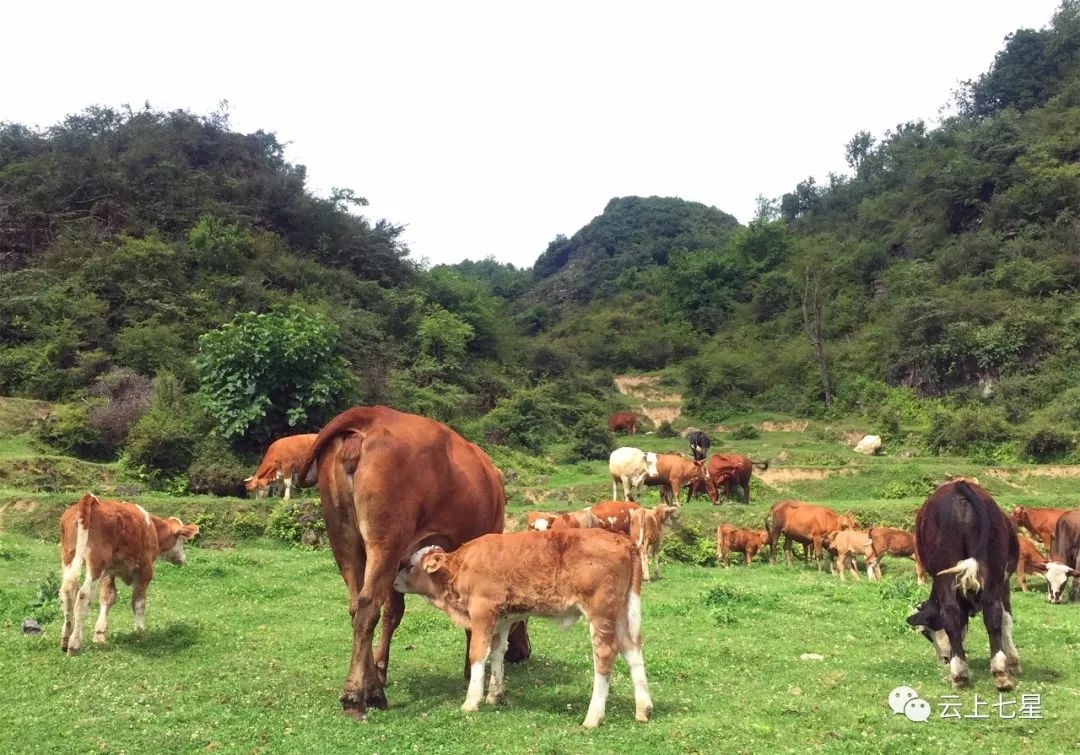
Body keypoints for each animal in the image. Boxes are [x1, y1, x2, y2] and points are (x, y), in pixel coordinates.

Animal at [59, 496, 200, 656]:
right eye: (183, 540)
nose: (183, 559)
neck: (152, 528)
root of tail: (91, 500)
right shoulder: (145, 570)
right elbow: (139, 602)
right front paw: (140, 631)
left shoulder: (108, 572)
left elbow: (108, 597)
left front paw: (100, 634)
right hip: (96, 562)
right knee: (83, 596)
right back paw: (75, 644)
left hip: (69, 557)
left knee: (67, 592)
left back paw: (65, 639)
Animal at [298, 408, 529, 721]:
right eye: (523, 618)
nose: (525, 652)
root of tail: (372, 414)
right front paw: (470, 672)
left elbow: (393, 613)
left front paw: (381, 669)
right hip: (386, 540)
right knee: (368, 606)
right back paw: (356, 696)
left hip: (344, 538)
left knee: (357, 607)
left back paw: (371, 687)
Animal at [395, 529, 652, 730]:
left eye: (409, 565)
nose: (394, 582)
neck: (462, 565)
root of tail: (620, 538)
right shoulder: (503, 618)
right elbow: (497, 652)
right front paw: (494, 694)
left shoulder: (482, 611)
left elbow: (478, 654)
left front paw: (471, 701)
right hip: (621, 613)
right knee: (632, 650)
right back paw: (644, 709)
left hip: (600, 613)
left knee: (605, 655)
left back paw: (593, 717)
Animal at [902, 483, 1019, 691]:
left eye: (926, 633)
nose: (944, 658)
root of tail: (959, 487)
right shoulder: (1003, 582)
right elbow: (1005, 619)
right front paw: (1012, 661)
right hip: (986, 573)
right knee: (989, 613)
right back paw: (992, 672)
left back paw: (961, 672)